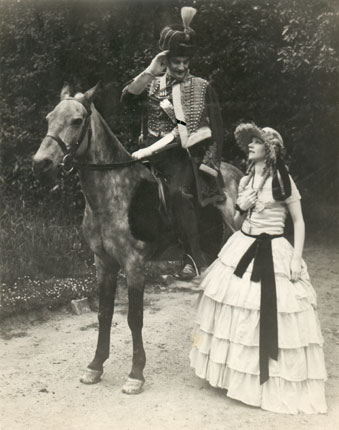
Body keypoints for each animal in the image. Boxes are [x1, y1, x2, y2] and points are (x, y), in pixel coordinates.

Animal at [32, 83, 244, 394]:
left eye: (77, 120)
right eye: (48, 118)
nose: (41, 163)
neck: (112, 194)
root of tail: (236, 173)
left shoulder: (134, 265)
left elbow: (134, 318)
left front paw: (136, 374)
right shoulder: (103, 264)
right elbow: (104, 313)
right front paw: (95, 366)